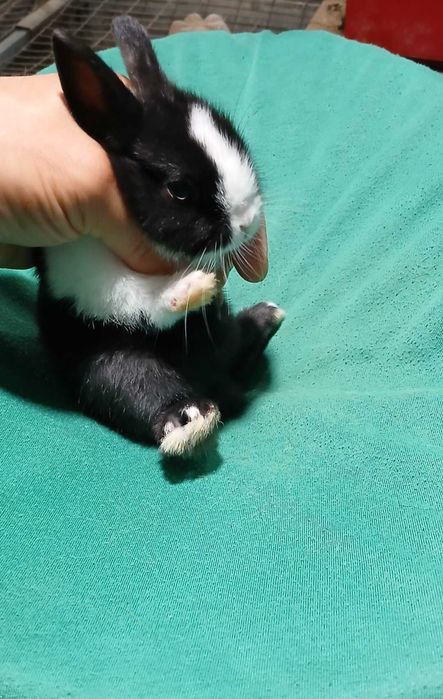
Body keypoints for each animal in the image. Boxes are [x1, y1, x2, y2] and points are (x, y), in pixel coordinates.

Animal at [36, 15, 284, 457]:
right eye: (179, 190)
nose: (247, 222)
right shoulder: (80, 267)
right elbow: (135, 297)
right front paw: (192, 289)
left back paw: (266, 316)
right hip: (118, 365)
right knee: (146, 390)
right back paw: (191, 419)